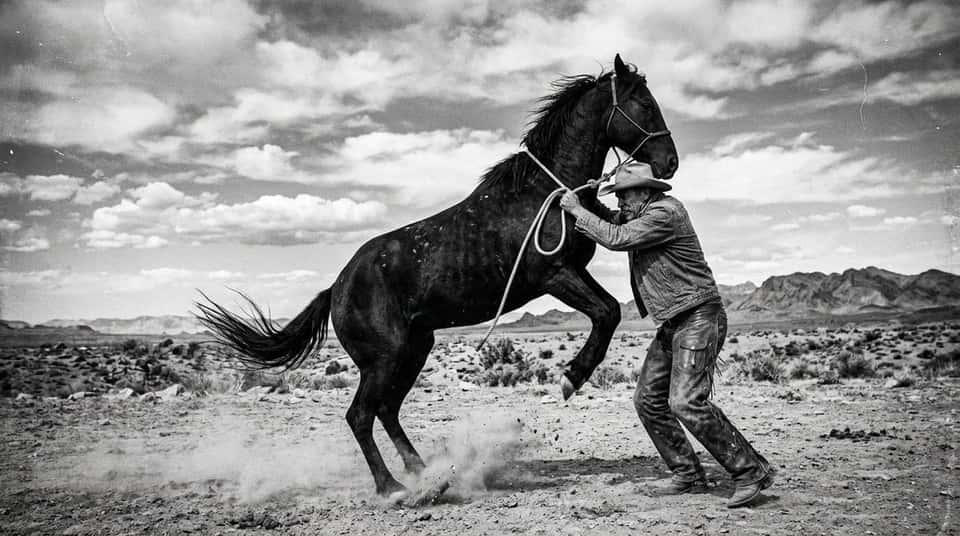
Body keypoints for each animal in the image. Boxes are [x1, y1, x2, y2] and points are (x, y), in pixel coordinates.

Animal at [197, 54, 679, 498]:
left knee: (387, 411)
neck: (546, 193)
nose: (670, 162)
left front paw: (572, 375)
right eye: (643, 103)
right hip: (385, 358)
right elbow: (607, 313)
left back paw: (424, 472)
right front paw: (570, 378)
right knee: (361, 415)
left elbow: (608, 311)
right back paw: (392, 488)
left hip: (414, 349)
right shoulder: (553, 274)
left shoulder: (572, 271)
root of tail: (336, 288)